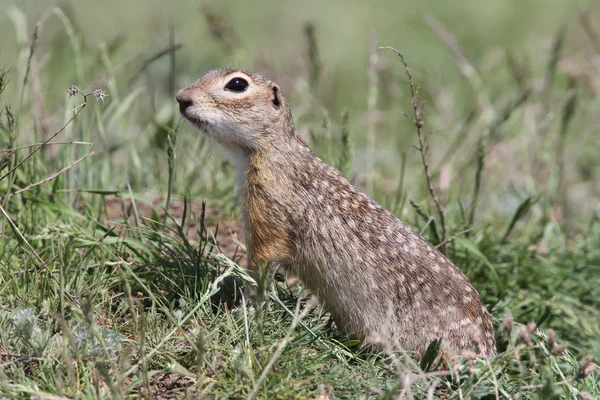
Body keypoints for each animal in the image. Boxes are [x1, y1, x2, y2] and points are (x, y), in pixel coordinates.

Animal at [176, 68, 494, 360]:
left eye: (237, 84)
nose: (181, 97)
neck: (271, 150)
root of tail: (487, 354)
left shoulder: (268, 211)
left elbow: (262, 262)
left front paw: (243, 308)